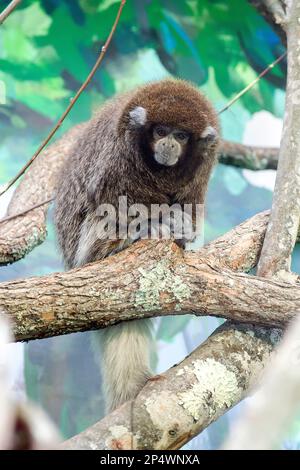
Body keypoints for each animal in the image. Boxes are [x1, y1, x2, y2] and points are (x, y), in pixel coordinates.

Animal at [53, 79, 218, 414]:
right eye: (160, 131)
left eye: (181, 136)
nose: (168, 146)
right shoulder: (118, 154)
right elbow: (111, 203)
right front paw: (154, 224)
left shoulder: (204, 164)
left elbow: (190, 208)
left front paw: (181, 228)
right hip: (82, 253)